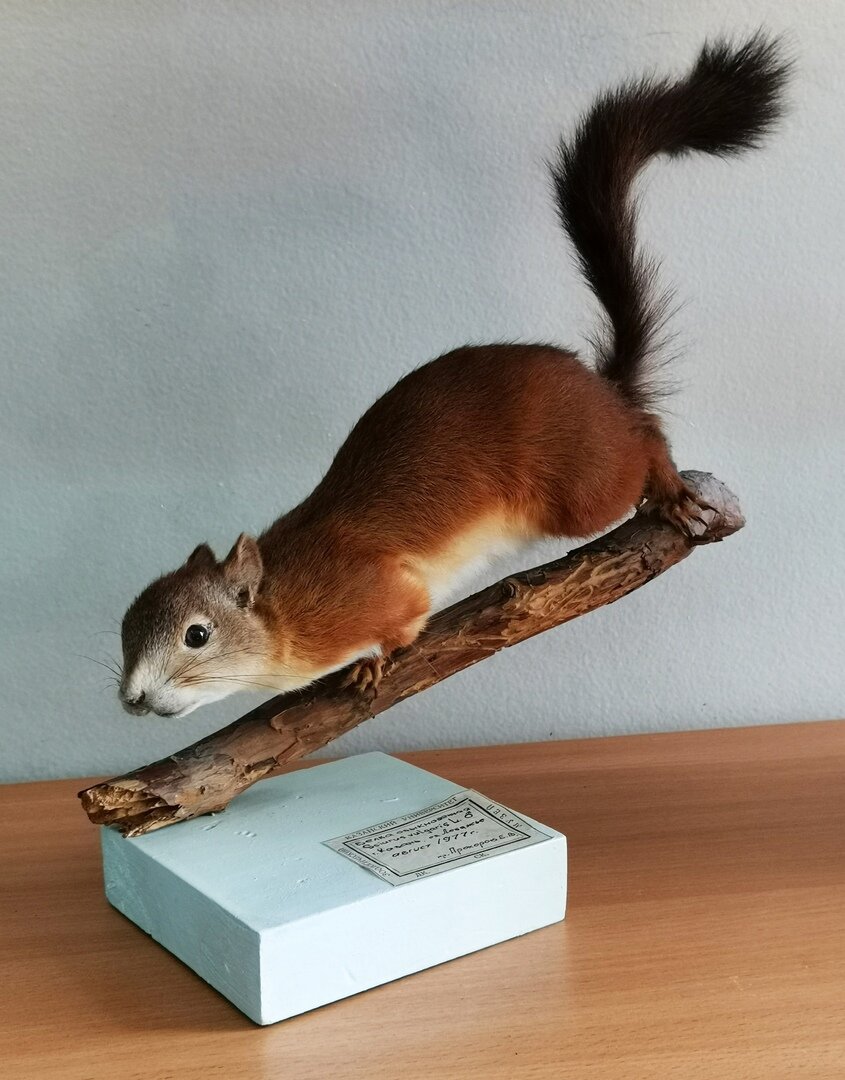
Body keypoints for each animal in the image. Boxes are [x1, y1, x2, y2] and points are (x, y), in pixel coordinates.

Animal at [119, 34, 789, 718]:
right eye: (124, 627)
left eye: (196, 635)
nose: (132, 698)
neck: (280, 611)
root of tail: (604, 390)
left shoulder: (376, 592)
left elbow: (404, 618)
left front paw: (374, 663)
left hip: (581, 487)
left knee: (645, 437)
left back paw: (671, 486)